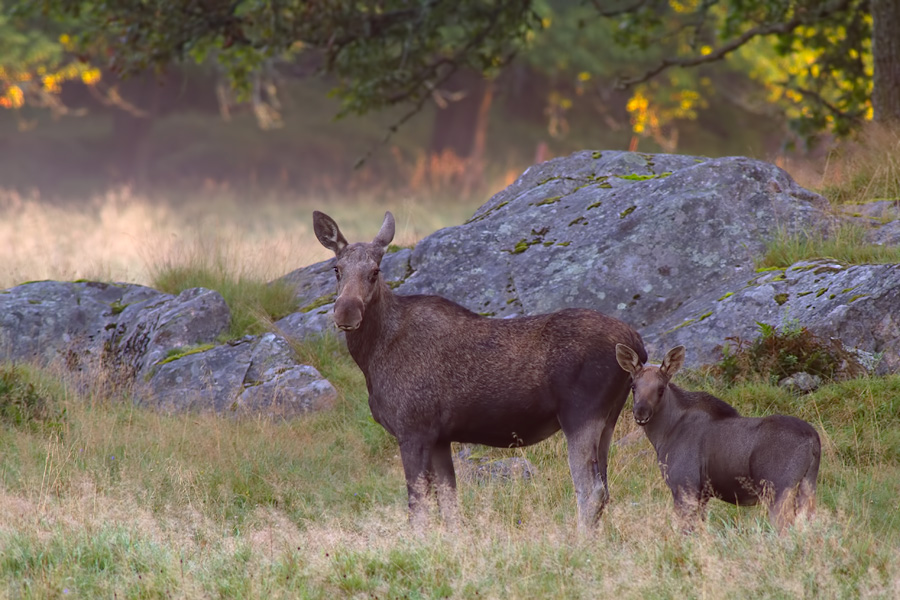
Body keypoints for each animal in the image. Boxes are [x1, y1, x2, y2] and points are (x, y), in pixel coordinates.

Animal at [616, 342, 820, 536]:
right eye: (633, 386)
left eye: (660, 388)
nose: (641, 412)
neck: (664, 434)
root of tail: (814, 441)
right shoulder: (703, 494)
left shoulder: (684, 485)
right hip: (807, 486)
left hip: (777, 488)